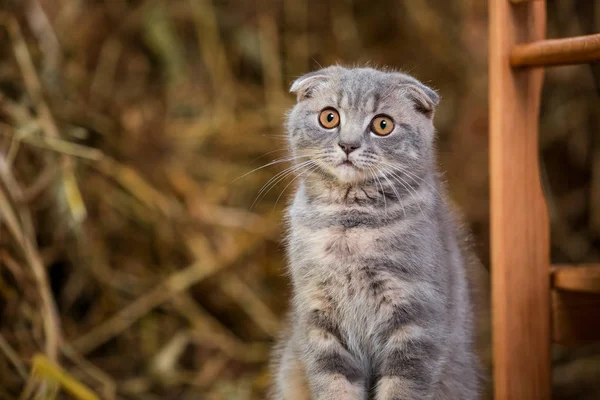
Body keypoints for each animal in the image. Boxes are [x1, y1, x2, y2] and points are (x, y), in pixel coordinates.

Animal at [270, 65, 480, 400]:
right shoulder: (318, 314)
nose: (348, 145)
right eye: (329, 117)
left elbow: (401, 388)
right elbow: (334, 385)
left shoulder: (417, 320)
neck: (350, 224)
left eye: (383, 124)